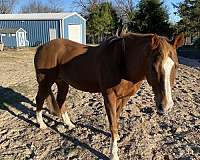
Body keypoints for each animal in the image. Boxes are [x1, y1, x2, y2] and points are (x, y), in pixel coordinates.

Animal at [34, 32, 184, 160]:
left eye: (176, 66)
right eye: (153, 67)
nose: (166, 105)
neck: (122, 61)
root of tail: (42, 47)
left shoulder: (123, 98)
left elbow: (116, 119)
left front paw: (116, 139)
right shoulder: (109, 97)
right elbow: (112, 124)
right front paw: (113, 154)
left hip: (63, 83)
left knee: (60, 100)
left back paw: (69, 124)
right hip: (45, 83)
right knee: (39, 99)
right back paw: (41, 124)